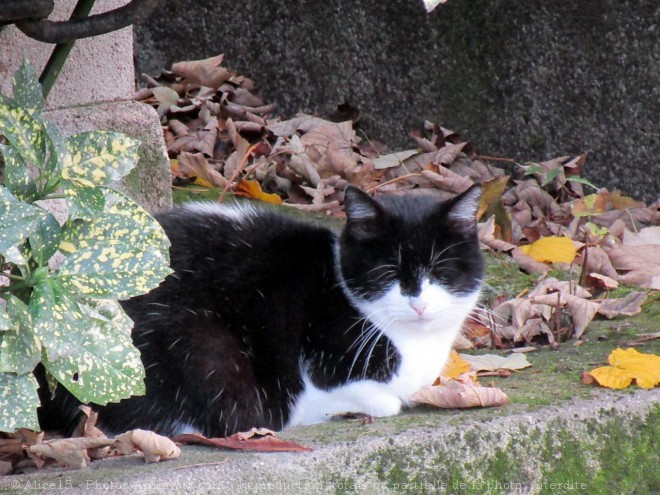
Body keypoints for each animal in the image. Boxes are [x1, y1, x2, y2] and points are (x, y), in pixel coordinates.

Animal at [49, 186, 482, 438]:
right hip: (198, 345)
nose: (419, 303)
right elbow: (382, 401)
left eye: (441, 271)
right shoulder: (318, 375)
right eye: (387, 273)